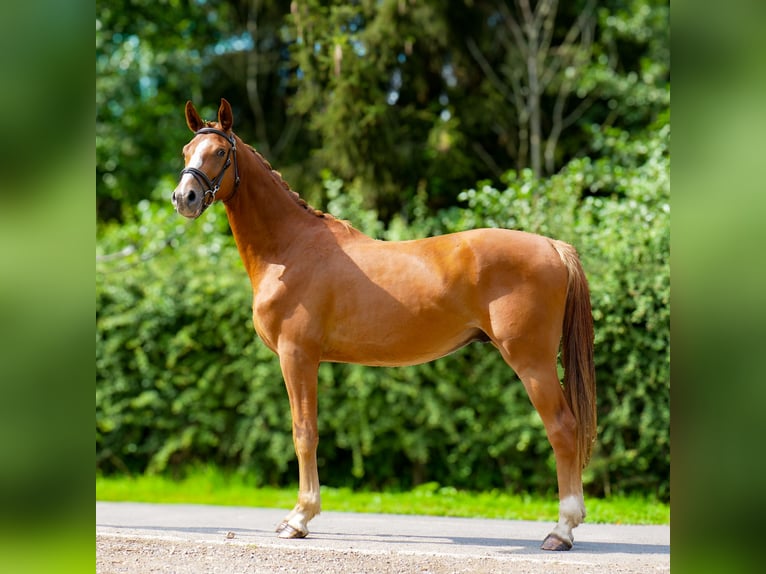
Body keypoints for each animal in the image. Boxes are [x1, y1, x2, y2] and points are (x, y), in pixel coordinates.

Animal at [171, 100, 596, 552]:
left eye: (220, 152)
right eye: (187, 151)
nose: (185, 197)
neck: (290, 249)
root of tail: (553, 246)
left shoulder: (297, 356)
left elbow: (304, 433)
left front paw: (299, 518)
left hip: (532, 362)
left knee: (563, 429)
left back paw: (561, 529)